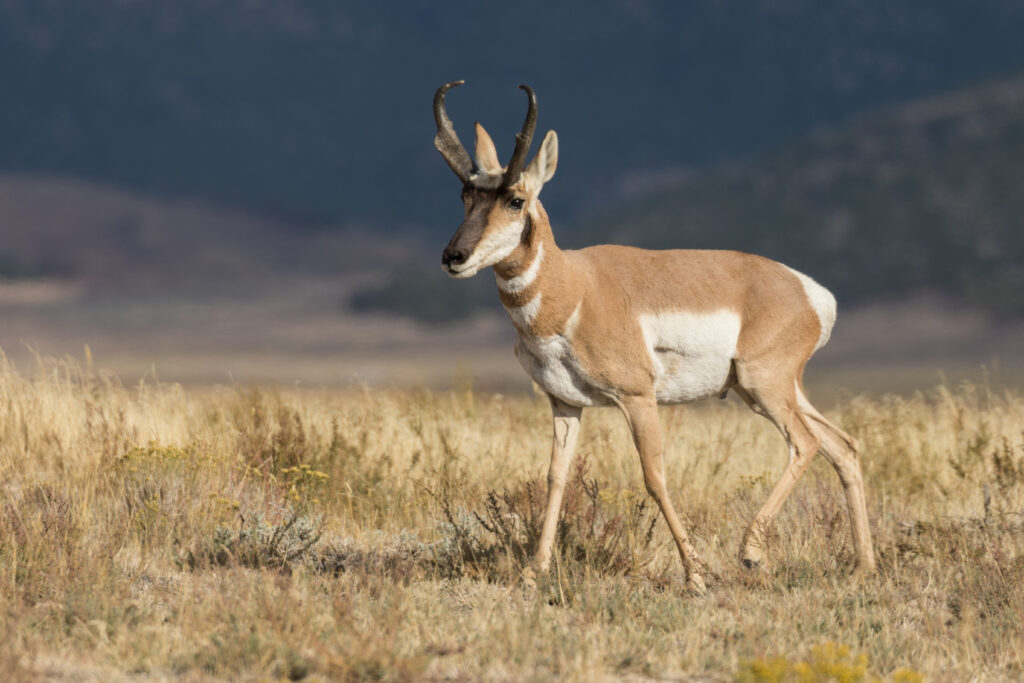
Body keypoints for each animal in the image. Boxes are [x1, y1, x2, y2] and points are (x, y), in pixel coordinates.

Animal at [432, 81, 872, 593]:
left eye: (515, 200)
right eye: (466, 194)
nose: (454, 257)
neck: (576, 287)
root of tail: (807, 289)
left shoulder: (638, 398)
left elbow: (654, 475)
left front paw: (695, 574)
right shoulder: (565, 404)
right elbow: (555, 476)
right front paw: (532, 571)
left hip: (765, 386)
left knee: (806, 444)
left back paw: (751, 553)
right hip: (771, 391)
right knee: (843, 446)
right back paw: (864, 567)